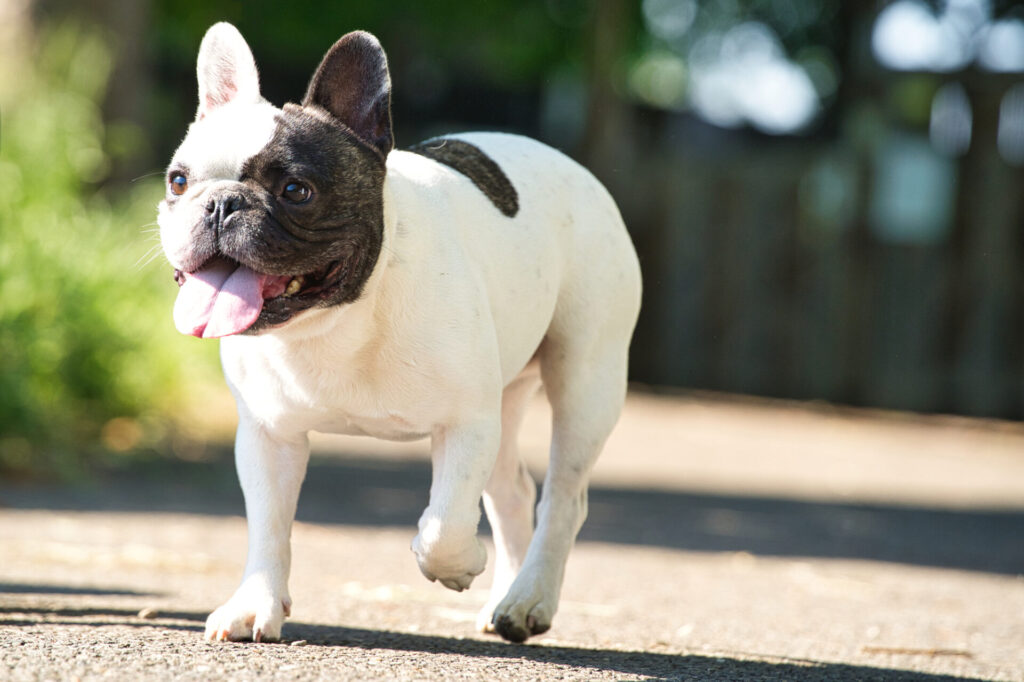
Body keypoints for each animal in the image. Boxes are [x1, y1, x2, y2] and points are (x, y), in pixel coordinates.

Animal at [157, 23, 638, 643]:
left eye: (296, 190)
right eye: (178, 181)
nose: (220, 203)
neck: (337, 319)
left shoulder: (465, 422)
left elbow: (444, 524)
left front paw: (459, 564)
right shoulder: (268, 436)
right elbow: (268, 528)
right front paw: (252, 605)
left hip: (585, 379)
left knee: (562, 498)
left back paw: (530, 597)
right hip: (506, 400)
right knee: (513, 493)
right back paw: (507, 601)